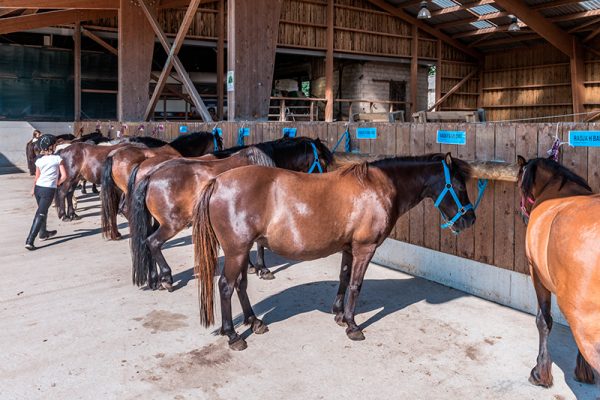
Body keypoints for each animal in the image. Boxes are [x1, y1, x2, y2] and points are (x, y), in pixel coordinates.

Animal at [129, 137, 336, 290]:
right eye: (322, 161)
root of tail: (151, 175)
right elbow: (260, 245)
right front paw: (262, 269)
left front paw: (252, 266)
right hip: (172, 223)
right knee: (153, 242)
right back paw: (166, 277)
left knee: (147, 242)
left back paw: (154, 279)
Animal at [191, 153, 474, 350]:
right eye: (460, 187)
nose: (469, 220)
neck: (378, 187)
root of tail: (217, 182)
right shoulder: (365, 248)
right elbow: (356, 285)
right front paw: (352, 325)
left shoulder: (349, 249)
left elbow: (344, 278)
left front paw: (339, 314)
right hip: (237, 251)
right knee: (226, 286)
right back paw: (233, 335)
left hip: (241, 251)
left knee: (240, 284)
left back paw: (255, 321)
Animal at [516, 157, 600, 390]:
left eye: (519, 185)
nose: (523, 215)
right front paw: (583, 371)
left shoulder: (536, 274)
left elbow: (543, 320)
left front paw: (540, 373)